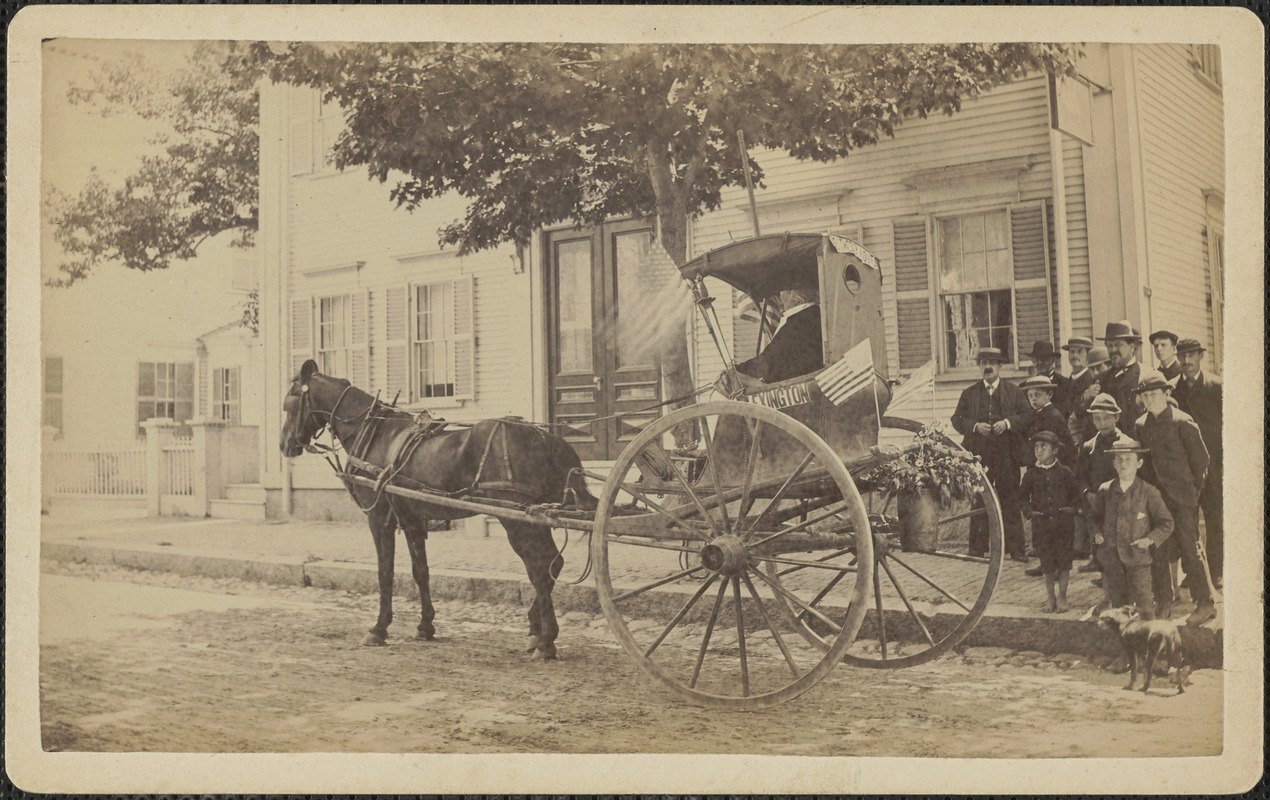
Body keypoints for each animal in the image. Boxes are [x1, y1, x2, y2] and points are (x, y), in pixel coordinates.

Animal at [279, 360, 594, 660]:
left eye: (289, 402)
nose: (285, 445)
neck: (376, 433)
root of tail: (547, 438)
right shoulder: (412, 520)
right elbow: (421, 571)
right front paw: (425, 626)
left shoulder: (379, 519)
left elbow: (385, 573)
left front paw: (379, 628)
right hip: (538, 517)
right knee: (553, 564)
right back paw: (535, 630)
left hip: (519, 521)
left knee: (539, 569)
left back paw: (546, 640)